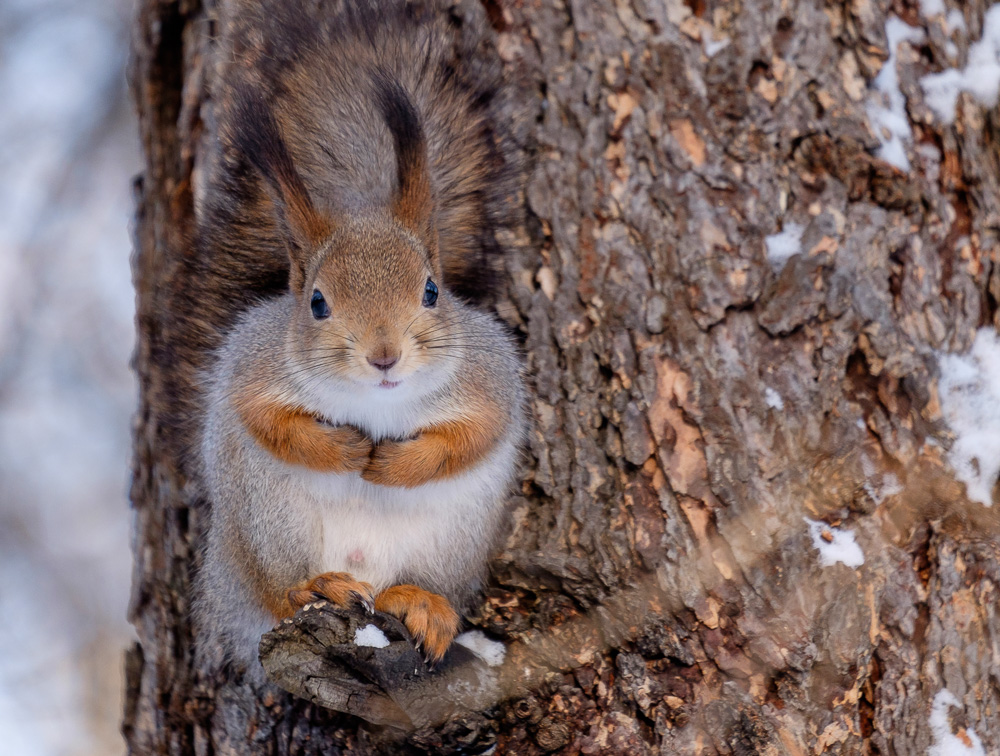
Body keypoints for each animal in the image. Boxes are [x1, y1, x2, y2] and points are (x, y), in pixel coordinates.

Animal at [190, 0, 528, 680]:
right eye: (317, 302)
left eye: (432, 291)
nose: (384, 357)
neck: (377, 404)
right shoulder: (254, 365)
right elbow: (265, 419)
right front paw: (343, 450)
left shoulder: (489, 375)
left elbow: (475, 434)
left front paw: (396, 463)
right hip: (267, 525)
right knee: (280, 592)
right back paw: (318, 586)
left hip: (452, 539)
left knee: (410, 585)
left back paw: (420, 603)